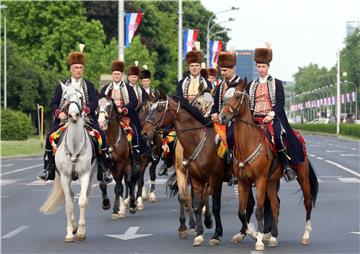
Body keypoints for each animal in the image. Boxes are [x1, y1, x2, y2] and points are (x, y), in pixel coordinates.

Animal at [39, 85, 96, 242]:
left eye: (81, 97)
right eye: (64, 97)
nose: (74, 115)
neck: (75, 146)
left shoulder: (85, 175)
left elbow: (82, 201)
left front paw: (81, 232)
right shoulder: (64, 176)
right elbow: (69, 204)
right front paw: (70, 232)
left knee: (85, 197)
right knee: (70, 195)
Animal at [141, 93, 225, 246]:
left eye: (160, 108)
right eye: (151, 108)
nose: (144, 133)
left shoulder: (204, 175)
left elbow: (201, 197)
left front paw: (204, 221)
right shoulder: (182, 171)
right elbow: (183, 197)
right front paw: (185, 226)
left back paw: (208, 219)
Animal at [219, 79, 318, 250]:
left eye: (237, 97)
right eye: (224, 97)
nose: (223, 117)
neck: (248, 143)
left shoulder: (260, 180)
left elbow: (258, 210)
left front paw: (258, 240)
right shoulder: (243, 182)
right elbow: (241, 211)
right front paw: (252, 232)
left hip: (301, 175)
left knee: (307, 202)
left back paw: (305, 236)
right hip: (271, 181)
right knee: (275, 204)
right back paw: (273, 237)